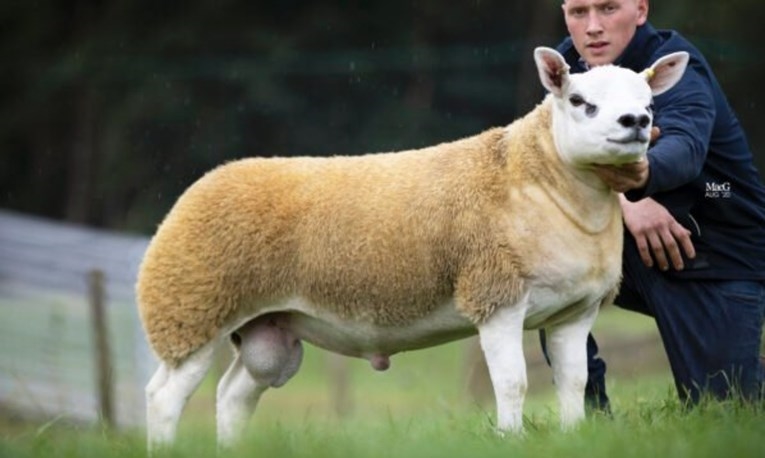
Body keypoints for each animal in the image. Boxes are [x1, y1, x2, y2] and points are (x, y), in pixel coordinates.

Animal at [136, 47, 689, 451]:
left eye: (649, 101)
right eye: (579, 100)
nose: (635, 121)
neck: (542, 180)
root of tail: (203, 183)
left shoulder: (576, 311)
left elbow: (575, 383)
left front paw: (573, 436)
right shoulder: (495, 295)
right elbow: (513, 383)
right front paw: (510, 439)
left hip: (267, 330)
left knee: (232, 395)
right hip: (190, 309)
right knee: (163, 398)